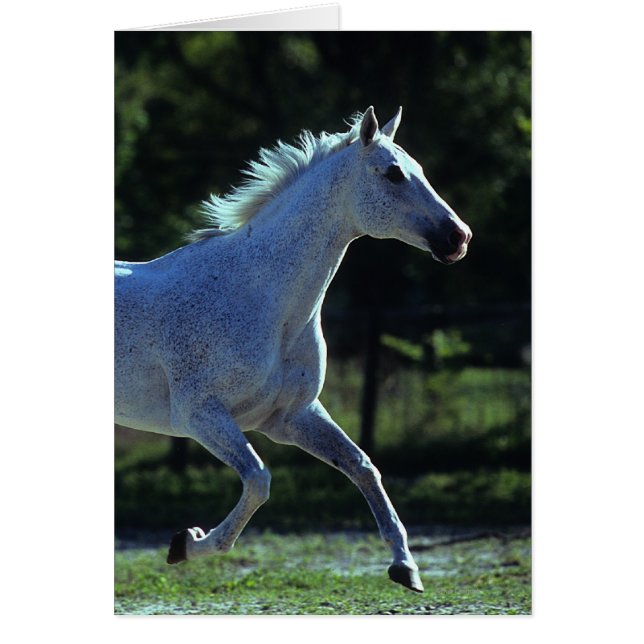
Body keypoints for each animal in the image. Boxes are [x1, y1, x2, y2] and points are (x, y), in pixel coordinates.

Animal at [115, 106, 472, 593]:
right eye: (394, 173)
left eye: (419, 169)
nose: (459, 238)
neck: (260, 297)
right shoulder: (200, 415)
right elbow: (259, 480)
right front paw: (185, 544)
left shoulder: (291, 417)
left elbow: (363, 466)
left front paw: (406, 568)